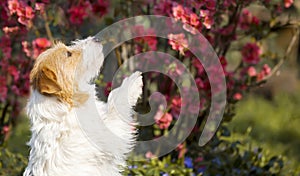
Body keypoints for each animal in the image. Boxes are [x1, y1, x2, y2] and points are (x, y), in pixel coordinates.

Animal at [23, 36, 143, 175]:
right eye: (68, 54)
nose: (96, 38)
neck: (66, 107)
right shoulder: (108, 135)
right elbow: (116, 102)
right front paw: (133, 82)